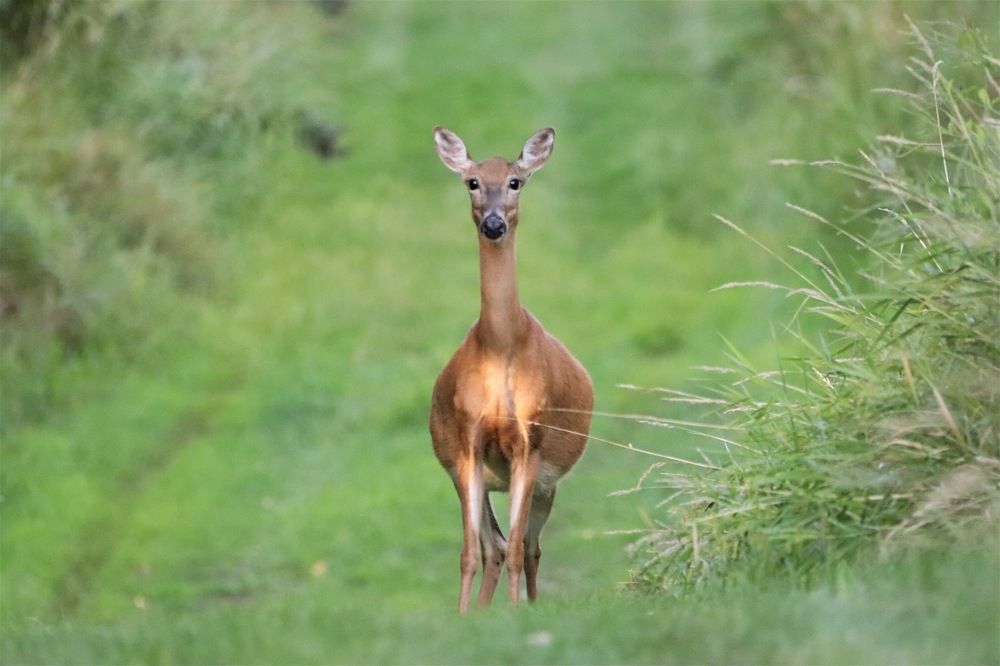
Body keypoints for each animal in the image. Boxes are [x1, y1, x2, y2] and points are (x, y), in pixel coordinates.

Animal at [429, 126, 594, 613]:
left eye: (516, 181)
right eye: (472, 182)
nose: (494, 224)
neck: (503, 347)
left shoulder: (530, 440)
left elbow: (520, 547)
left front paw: (518, 613)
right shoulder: (467, 440)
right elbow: (470, 551)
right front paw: (465, 617)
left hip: (546, 480)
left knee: (529, 546)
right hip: (466, 470)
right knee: (495, 547)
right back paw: (484, 611)